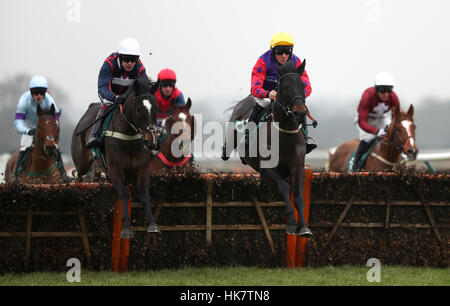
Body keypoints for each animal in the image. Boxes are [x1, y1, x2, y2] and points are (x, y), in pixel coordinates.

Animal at [71, 76, 161, 239]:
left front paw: (152, 224)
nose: (153, 141)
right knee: (78, 173)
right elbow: (124, 194)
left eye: (156, 108)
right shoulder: (115, 170)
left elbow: (145, 194)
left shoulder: (142, 169)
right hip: (82, 161)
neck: (129, 137)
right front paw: (126, 229)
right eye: (138, 109)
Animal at [221, 60, 312, 237]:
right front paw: (292, 224)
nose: (300, 113)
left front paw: (304, 227)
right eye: (285, 87)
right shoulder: (268, 170)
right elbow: (285, 187)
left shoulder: (298, 167)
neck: (284, 137)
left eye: (303, 85)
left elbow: (298, 196)